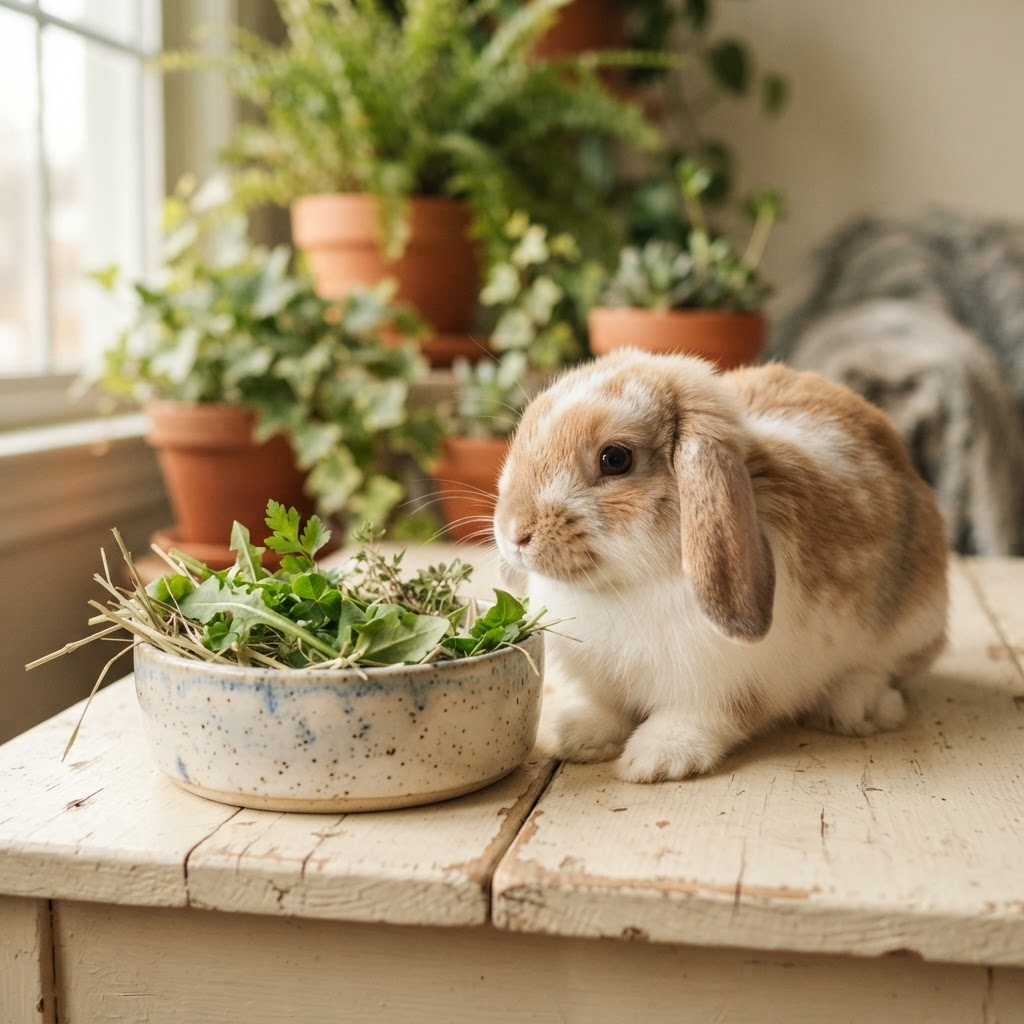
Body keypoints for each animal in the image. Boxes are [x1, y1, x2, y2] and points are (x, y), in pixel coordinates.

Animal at [492, 348, 949, 783]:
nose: (514, 533)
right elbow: (606, 709)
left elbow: (709, 716)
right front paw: (574, 735)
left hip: (913, 624)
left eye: (615, 459)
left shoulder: (723, 687)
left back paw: (860, 707)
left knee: (886, 671)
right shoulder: (604, 684)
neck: (625, 585)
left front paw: (657, 758)